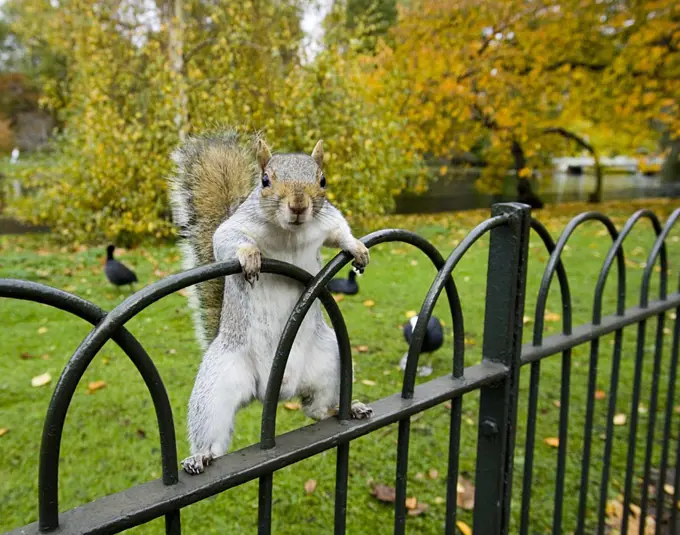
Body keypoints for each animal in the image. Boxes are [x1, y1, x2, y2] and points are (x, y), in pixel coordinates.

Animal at [168, 131, 374, 478]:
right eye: (265, 180)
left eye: (322, 180)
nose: (298, 205)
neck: (290, 233)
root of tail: (273, 389)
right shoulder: (235, 228)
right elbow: (228, 240)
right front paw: (250, 256)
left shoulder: (327, 220)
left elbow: (340, 231)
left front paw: (357, 247)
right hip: (218, 384)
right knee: (213, 436)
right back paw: (200, 457)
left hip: (330, 362)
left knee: (315, 409)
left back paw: (345, 408)